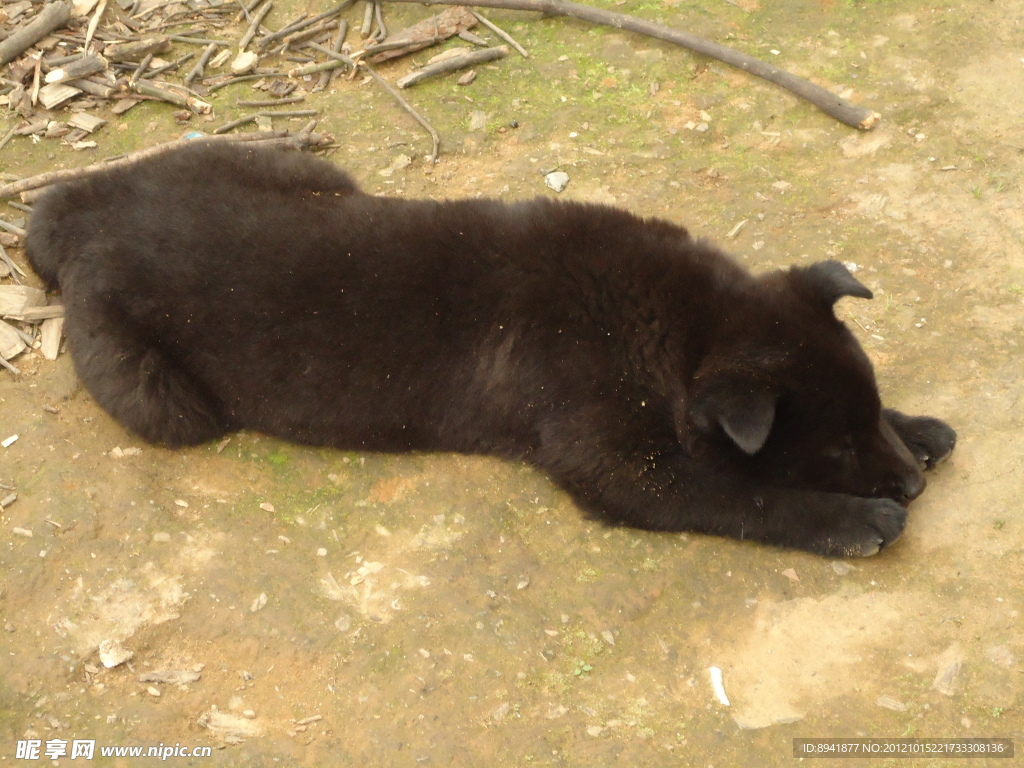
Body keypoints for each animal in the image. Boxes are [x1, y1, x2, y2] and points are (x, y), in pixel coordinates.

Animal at [24, 141, 954, 557]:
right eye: (832, 452)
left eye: (868, 418)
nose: (910, 485)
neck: (678, 324)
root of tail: (82, 206)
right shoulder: (629, 472)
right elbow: (746, 494)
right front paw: (852, 518)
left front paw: (920, 428)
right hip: (162, 399)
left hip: (310, 170)